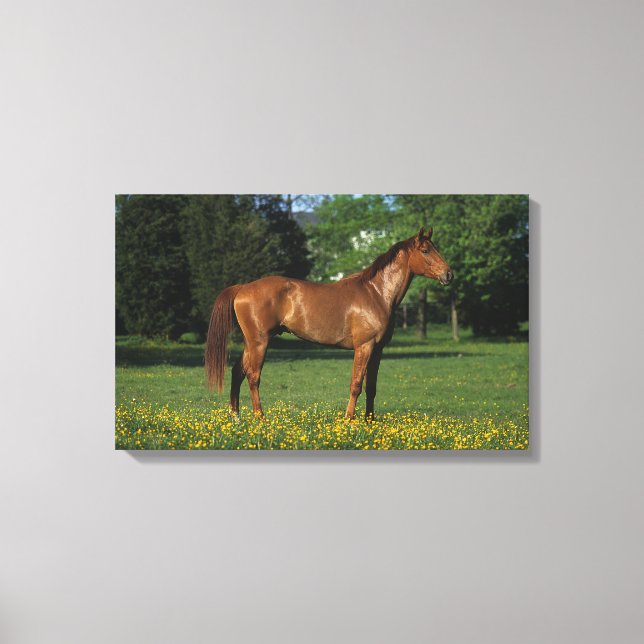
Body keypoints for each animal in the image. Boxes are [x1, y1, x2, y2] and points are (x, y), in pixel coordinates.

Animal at [205, 227, 453, 419]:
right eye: (425, 250)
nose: (449, 274)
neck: (376, 293)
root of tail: (243, 288)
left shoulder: (378, 350)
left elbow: (371, 388)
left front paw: (370, 421)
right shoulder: (364, 347)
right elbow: (356, 385)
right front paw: (349, 420)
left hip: (251, 342)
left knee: (238, 372)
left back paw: (236, 417)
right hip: (259, 342)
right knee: (253, 377)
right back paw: (260, 418)